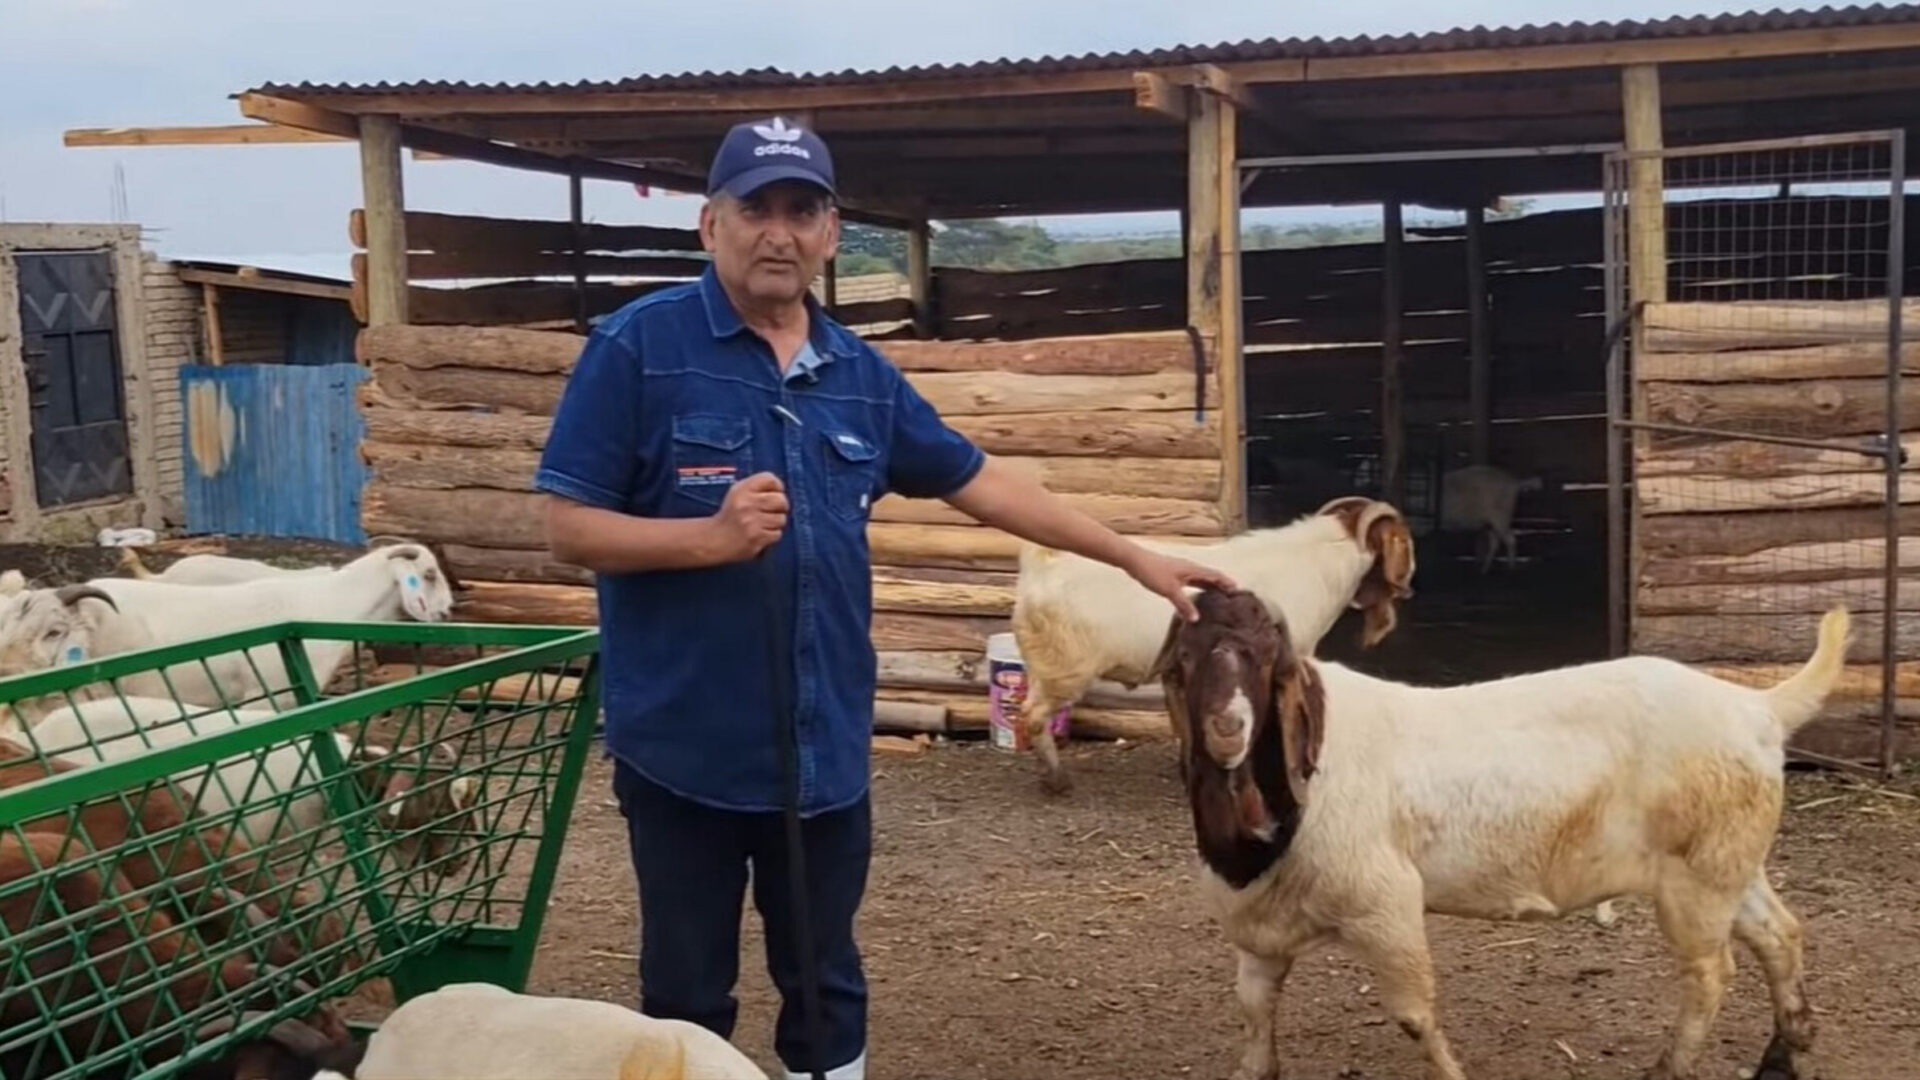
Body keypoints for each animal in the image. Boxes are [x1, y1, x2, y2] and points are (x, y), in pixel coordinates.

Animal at [1006, 495, 1413, 791]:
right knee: (1033, 716)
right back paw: (1058, 781)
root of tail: (1042, 563)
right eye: (1404, 542)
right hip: (1063, 671)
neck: (1318, 565)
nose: (1409, 582)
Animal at [1144, 588, 1850, 1076]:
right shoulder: (1260, 929)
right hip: (1730, 859)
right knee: (1780, 934)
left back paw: (1670, 1070)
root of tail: (1757, 707)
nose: (1227, 729)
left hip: (1695, 877)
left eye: (1269, 662)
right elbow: (1254, 1009)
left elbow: (1414, 1015)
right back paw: (1784, 1055)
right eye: (1181, 665)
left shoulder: (1385, 904)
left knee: (1710, 971)